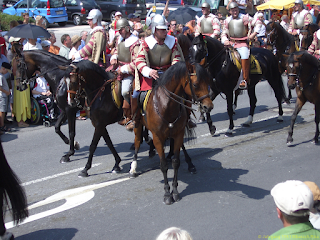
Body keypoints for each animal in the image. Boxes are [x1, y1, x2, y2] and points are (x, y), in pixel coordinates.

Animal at [129, 62, 214, 204]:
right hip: (138, 125)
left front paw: (175, 191)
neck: (166, 105)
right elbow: (163, 165)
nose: (208, 106)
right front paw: (167, 194)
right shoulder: (158, 137)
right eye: (195, 84)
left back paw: (189, 164)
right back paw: (133, 167)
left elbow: (176, 162)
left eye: (208, 81)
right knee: (137, 142)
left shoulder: (178, 133)